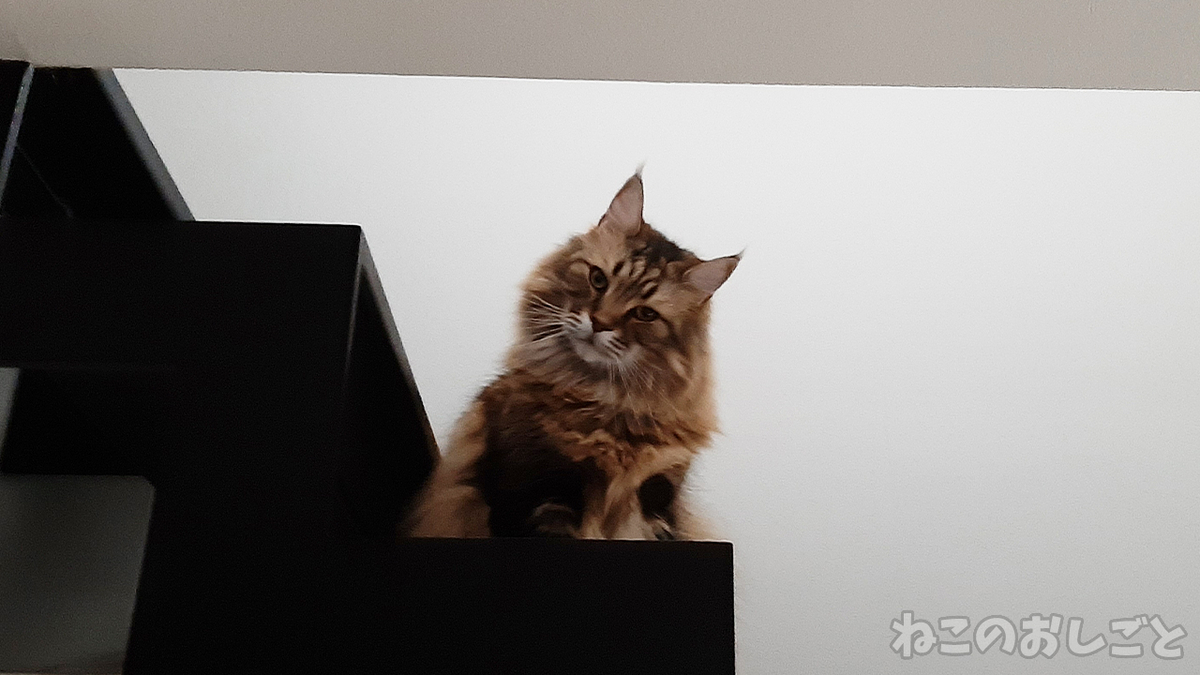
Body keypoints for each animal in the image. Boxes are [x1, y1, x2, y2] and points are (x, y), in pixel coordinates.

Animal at [406, 172, 739, 539]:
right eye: (598, 279)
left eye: (645, 314)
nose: (599, 323)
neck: (604, 402)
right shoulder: (538, 483)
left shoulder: (659, 495)